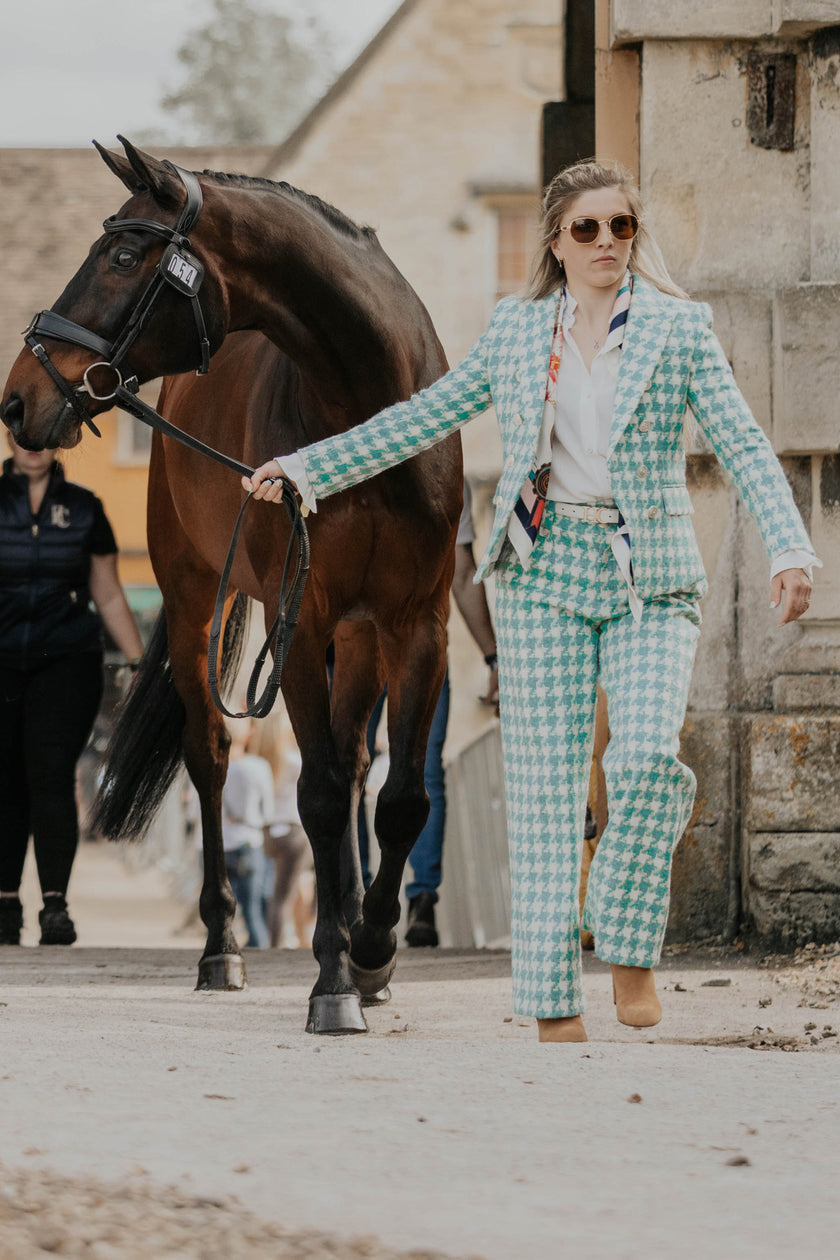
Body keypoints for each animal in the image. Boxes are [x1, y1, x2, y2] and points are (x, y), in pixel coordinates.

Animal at [0, 137, 460, 1033]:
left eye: (122, 255)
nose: (17, 398)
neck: (368, 414)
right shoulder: (301, 621)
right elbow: (318, 796)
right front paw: (333, 981)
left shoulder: (414, 624)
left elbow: (398, 798)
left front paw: (372, 951)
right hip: (191, 603)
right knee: (212, 755)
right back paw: (222, 948)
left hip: (356, 639)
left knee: (357, 764)